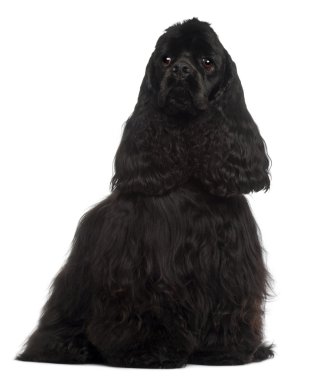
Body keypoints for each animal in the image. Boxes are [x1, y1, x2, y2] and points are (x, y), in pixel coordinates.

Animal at [15, 18, 272, 368]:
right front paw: (147, 351)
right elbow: (143, 311)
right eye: (165, 59)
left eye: (208, 62)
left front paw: (226, 349)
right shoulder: (139, 269)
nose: (181, 70)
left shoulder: (229, 264)